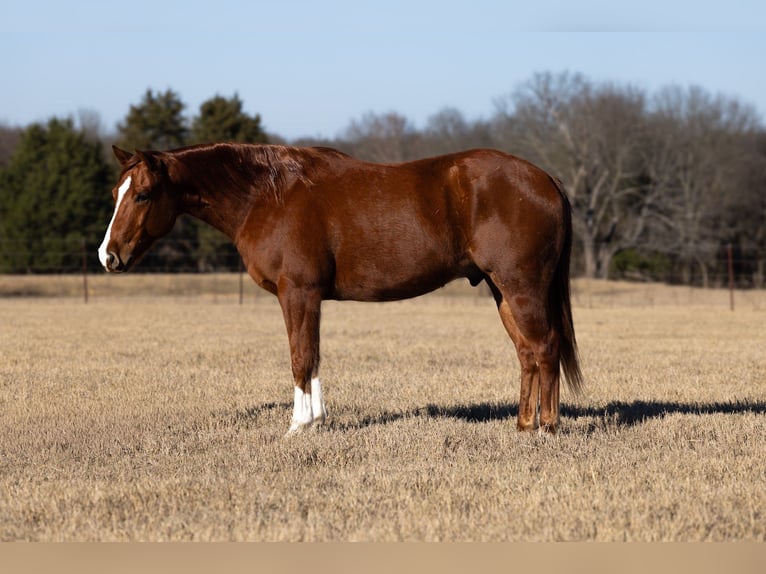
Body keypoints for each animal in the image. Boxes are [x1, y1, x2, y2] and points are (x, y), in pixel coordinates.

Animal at [98, 143, 583, 434]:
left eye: (142, 195)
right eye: (115, 193)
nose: (108, 256)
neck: (266, 197)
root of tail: (546, 179)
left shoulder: (297, 292)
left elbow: (300, 357)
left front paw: (298, 427)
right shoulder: (307, 297)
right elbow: (312, 357)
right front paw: (315, 421)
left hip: (522, 286)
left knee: (545, 347)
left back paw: (547, 428)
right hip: (502, 291)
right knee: (527, 353)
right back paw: (522, 425)